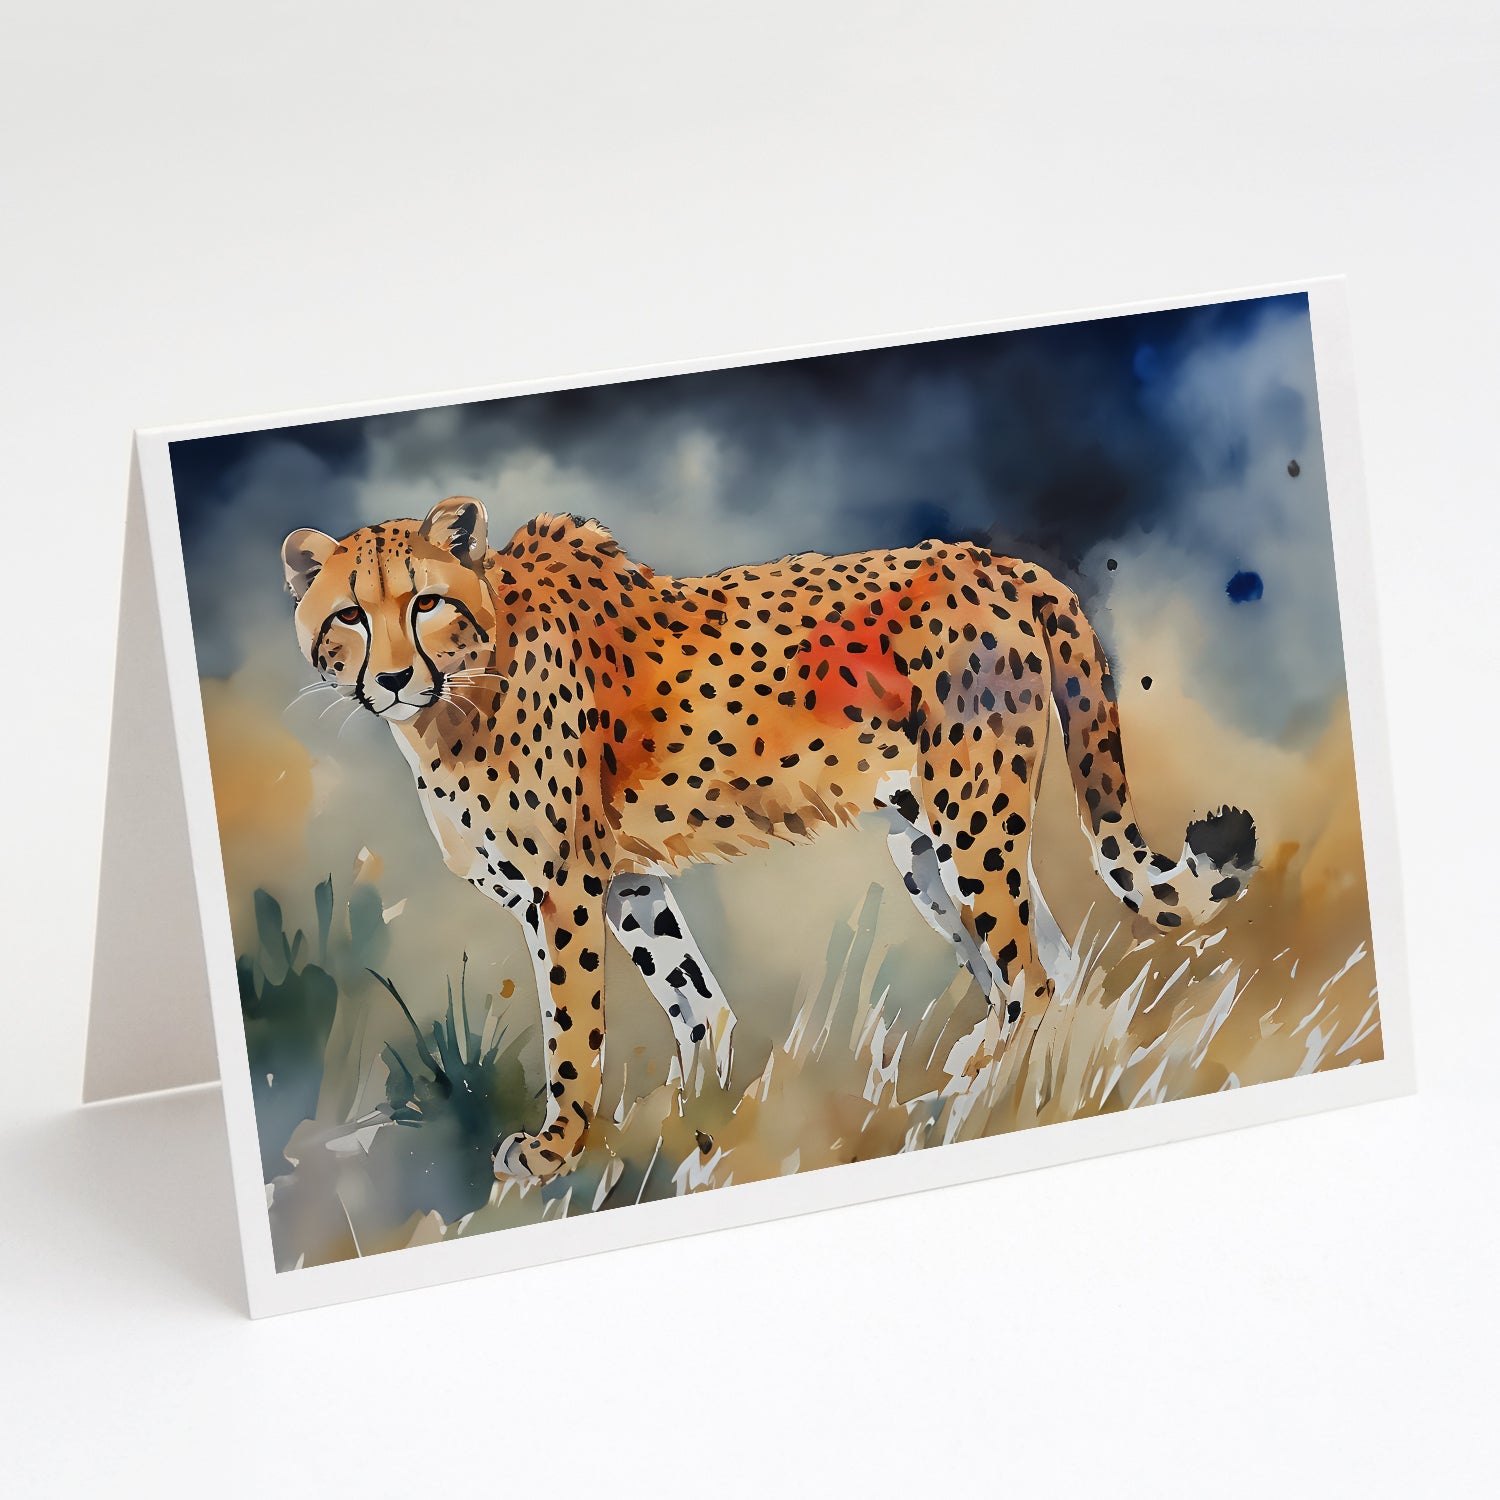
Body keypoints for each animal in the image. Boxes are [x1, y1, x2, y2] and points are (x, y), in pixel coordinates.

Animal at [282, 497, 1256, 1182]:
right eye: (349, 617)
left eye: (425, 602)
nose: (392, 679)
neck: (457, 693)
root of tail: (996, 561)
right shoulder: (627, 882)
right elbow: (693, 1000)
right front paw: (695, 1111)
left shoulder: (563, 891)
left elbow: (572, 1028)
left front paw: (558, 1148)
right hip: (925, 845)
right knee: (1049, 962)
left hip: (972, 819)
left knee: (1031, 972)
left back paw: (977, 1093)